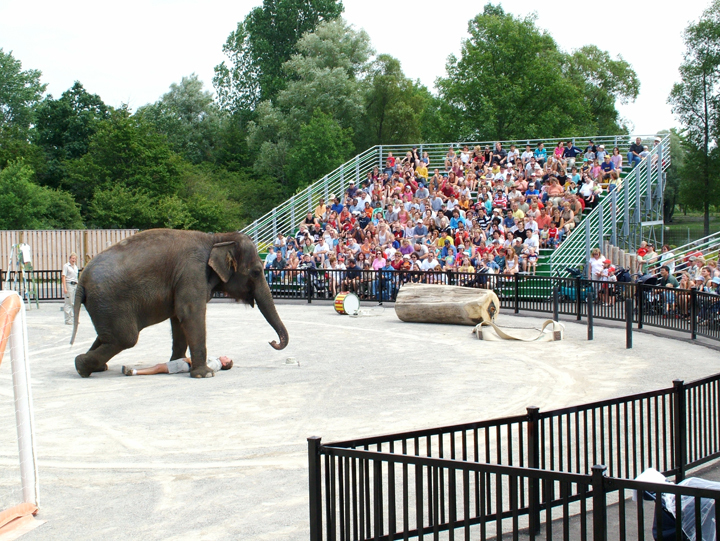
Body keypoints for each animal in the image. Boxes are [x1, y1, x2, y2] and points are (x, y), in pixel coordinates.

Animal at [70, 230, 288, 378]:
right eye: (257, 272)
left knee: (108, 336)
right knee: (126, 338)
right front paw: (205, 374)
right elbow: (191, 313)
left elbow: (178, 318)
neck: (217, 239)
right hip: (110, 301)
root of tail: (82, 280)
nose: (272, 341)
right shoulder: (192, 271)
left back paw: (93, 367)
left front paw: (177, 363)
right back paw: (81, 366)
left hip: (104, 306)